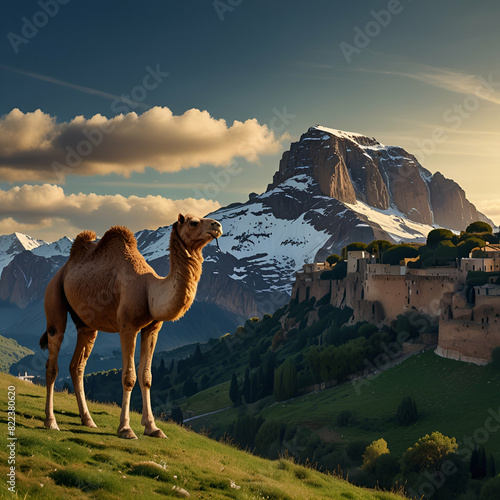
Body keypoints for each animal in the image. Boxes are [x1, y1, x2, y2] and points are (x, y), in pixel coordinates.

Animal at [37, 213, 221, 440]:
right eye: (193, 222)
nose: (217, 225)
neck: (150, 290)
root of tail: (63, 269)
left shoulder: (152, 328)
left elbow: (147, 376)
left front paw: (153, 427)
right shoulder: (127, 326)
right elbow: (129, 377)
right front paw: (126, 429)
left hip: (86, 324)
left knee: (77, 365)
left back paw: (88, 420)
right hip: (54, 297)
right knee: (53, 362)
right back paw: (51, 421)